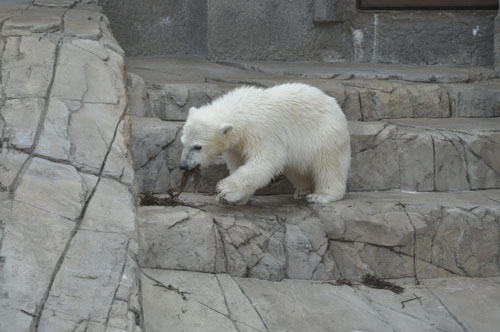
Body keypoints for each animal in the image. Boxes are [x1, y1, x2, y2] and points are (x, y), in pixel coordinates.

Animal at [181, 83, 352, 205]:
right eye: (183, 142)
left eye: (197, 147)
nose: (183, 165)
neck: (243, 110)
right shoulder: (236, 145)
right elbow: (238, 163)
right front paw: (232, 198)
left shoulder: (261, 131)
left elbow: (265, 161)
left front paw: (224, 189)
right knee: (296, 168)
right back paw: (303, 190)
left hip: (326, 134)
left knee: (328, 164)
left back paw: (321, 195)